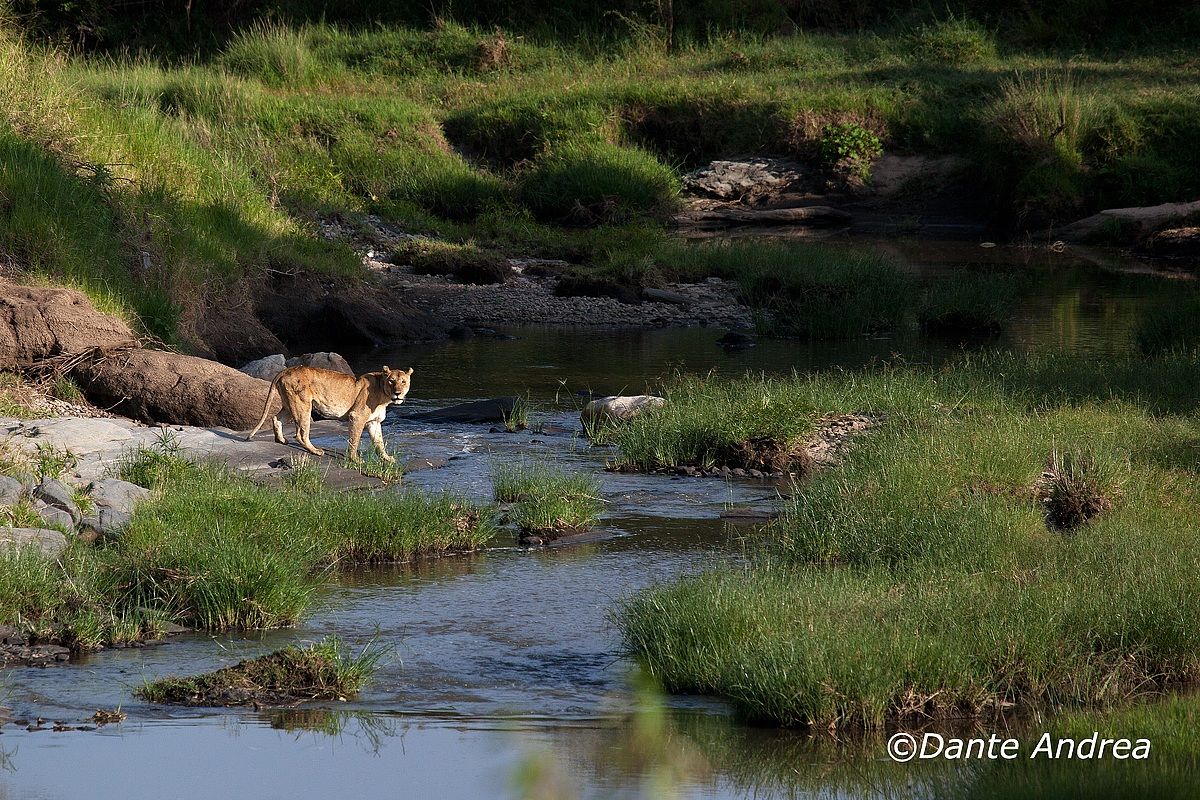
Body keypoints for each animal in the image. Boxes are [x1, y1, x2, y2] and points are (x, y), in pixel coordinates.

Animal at [246, 365, 413, 463]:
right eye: (392, 381)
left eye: (403, 382)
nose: (398, 393)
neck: (384, 395)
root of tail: (287, 370)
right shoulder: (356, 416)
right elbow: (354, 440)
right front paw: (355, 459)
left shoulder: (374, 422)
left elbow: (379, 442)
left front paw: (387, 458)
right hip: (303, 404)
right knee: (300, 433)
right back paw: (316, 451)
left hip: (290, 404)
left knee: (276, 418)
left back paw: (281, 440)